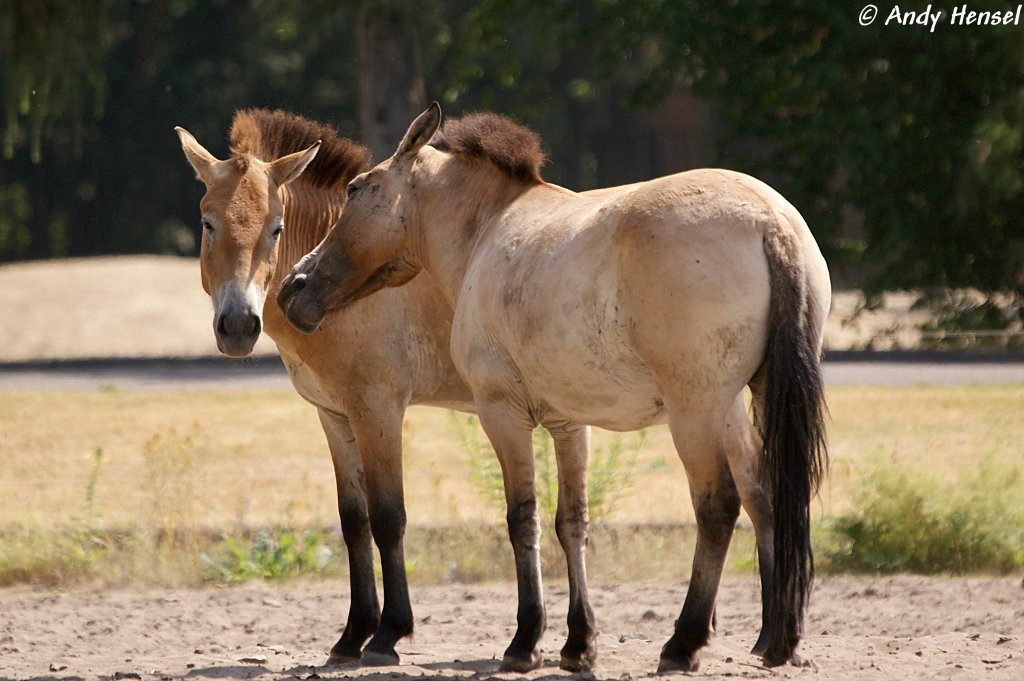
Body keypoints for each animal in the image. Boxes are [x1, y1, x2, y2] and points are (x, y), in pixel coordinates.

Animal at [174, 110, 495, 667]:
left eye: (276, 228)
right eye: (208, 222)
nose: (237, 326)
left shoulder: (378, 413)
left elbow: (388, 518)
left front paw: (389, 635)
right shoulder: (335, 416)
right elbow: (354, 521)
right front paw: (352, 635)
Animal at [278, 103, 831, 672]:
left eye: (356, 190)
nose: (295, 286)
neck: (488, 230)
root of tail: (769, 221)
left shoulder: (501, 415)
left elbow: (522, 519)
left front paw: (525, 641)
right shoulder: (569, 423)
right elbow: (573, 522)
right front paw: (578, 644)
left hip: (695, 412)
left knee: (718, 506)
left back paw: (685, 641)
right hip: (741, 402)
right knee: (770, 496)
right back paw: (778, 639)